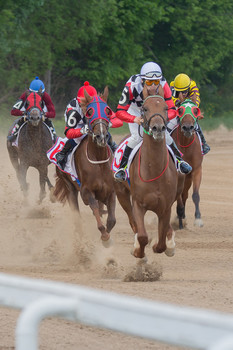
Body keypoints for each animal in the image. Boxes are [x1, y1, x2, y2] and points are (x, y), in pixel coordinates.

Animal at [53, 87, 116, 246]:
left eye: (108, 110)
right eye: (89, 112)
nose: (101, 136)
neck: (99, 160)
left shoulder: (110, 191)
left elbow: (111, 220)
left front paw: (106, 237)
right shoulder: (86, 191)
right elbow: (93, 208)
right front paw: (103, 235)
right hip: (69, 187)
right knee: (77, 215)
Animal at [114, 86, 183, 258]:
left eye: (165, 108)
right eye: (145, 108)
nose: (158, 128)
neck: (154, 171)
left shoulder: (165, 207)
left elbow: (162, 241)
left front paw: (163, 246)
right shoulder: (138, 204)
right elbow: (142, 235)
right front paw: (138, 251)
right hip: (121, 194)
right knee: (133, 223)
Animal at [171, 99, 204, 230]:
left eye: (195, 110)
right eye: (180, 110)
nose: (188, 127)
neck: (186, 145)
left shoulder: (196, 170)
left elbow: (195, 195)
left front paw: (198, 219)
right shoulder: (179, 174)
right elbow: (178, 199)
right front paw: (179, 222)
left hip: (188, 178)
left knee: (185, 195)